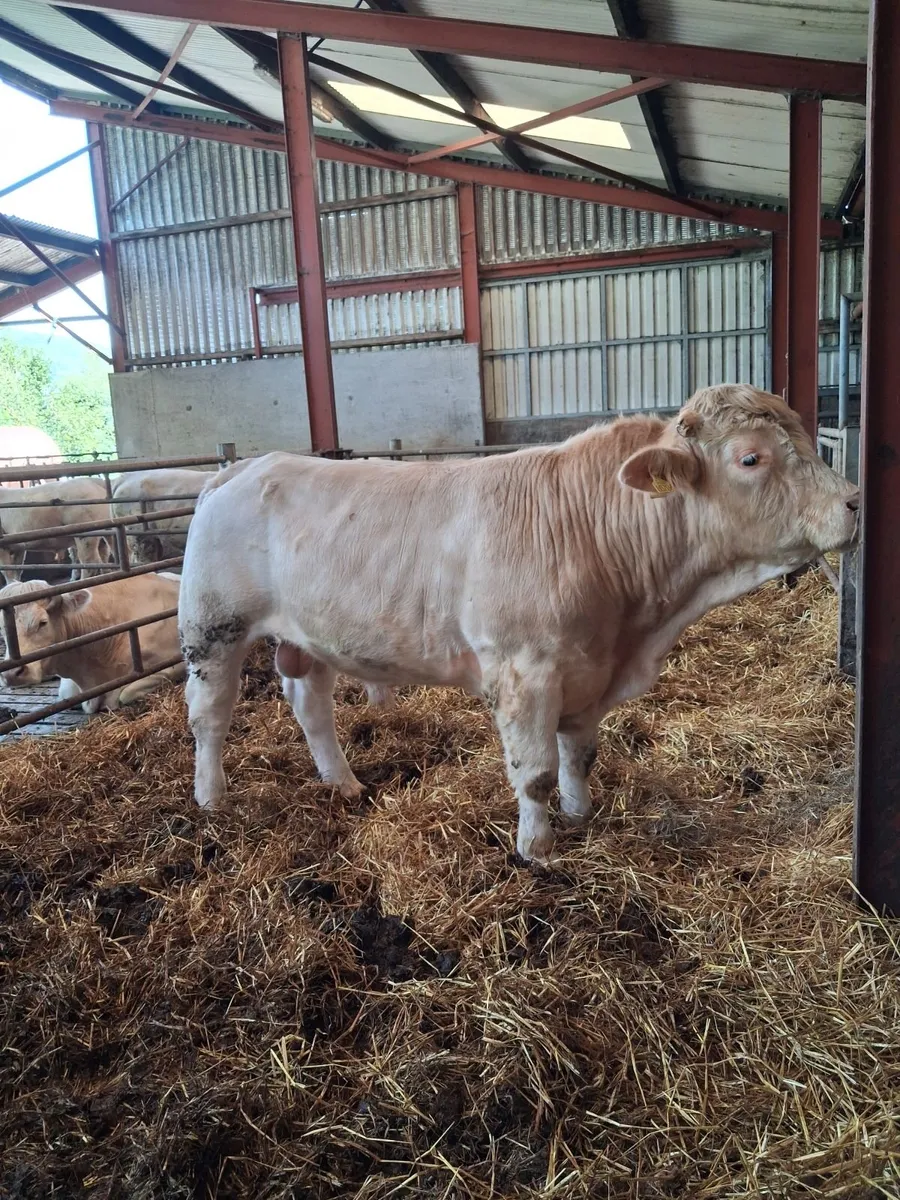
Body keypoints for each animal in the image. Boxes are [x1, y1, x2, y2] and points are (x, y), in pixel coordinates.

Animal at [0, 572, 184, 712]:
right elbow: (67, 692)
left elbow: (124, 695)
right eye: (1, 627)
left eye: (42, 623)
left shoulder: (175, 666)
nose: (11, 673)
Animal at [177, 384, 859, 863]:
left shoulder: (589, 671)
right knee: (210, 717)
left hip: (307, 635)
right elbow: (533, 773)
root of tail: (242, 468)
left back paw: (342, 783)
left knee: (310, 705)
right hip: (212, 628)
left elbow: (579, 755)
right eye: (751, 458)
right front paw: (537, 850)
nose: (854, 501)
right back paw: (211, 797)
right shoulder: (523, 672)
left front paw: (581, 815)